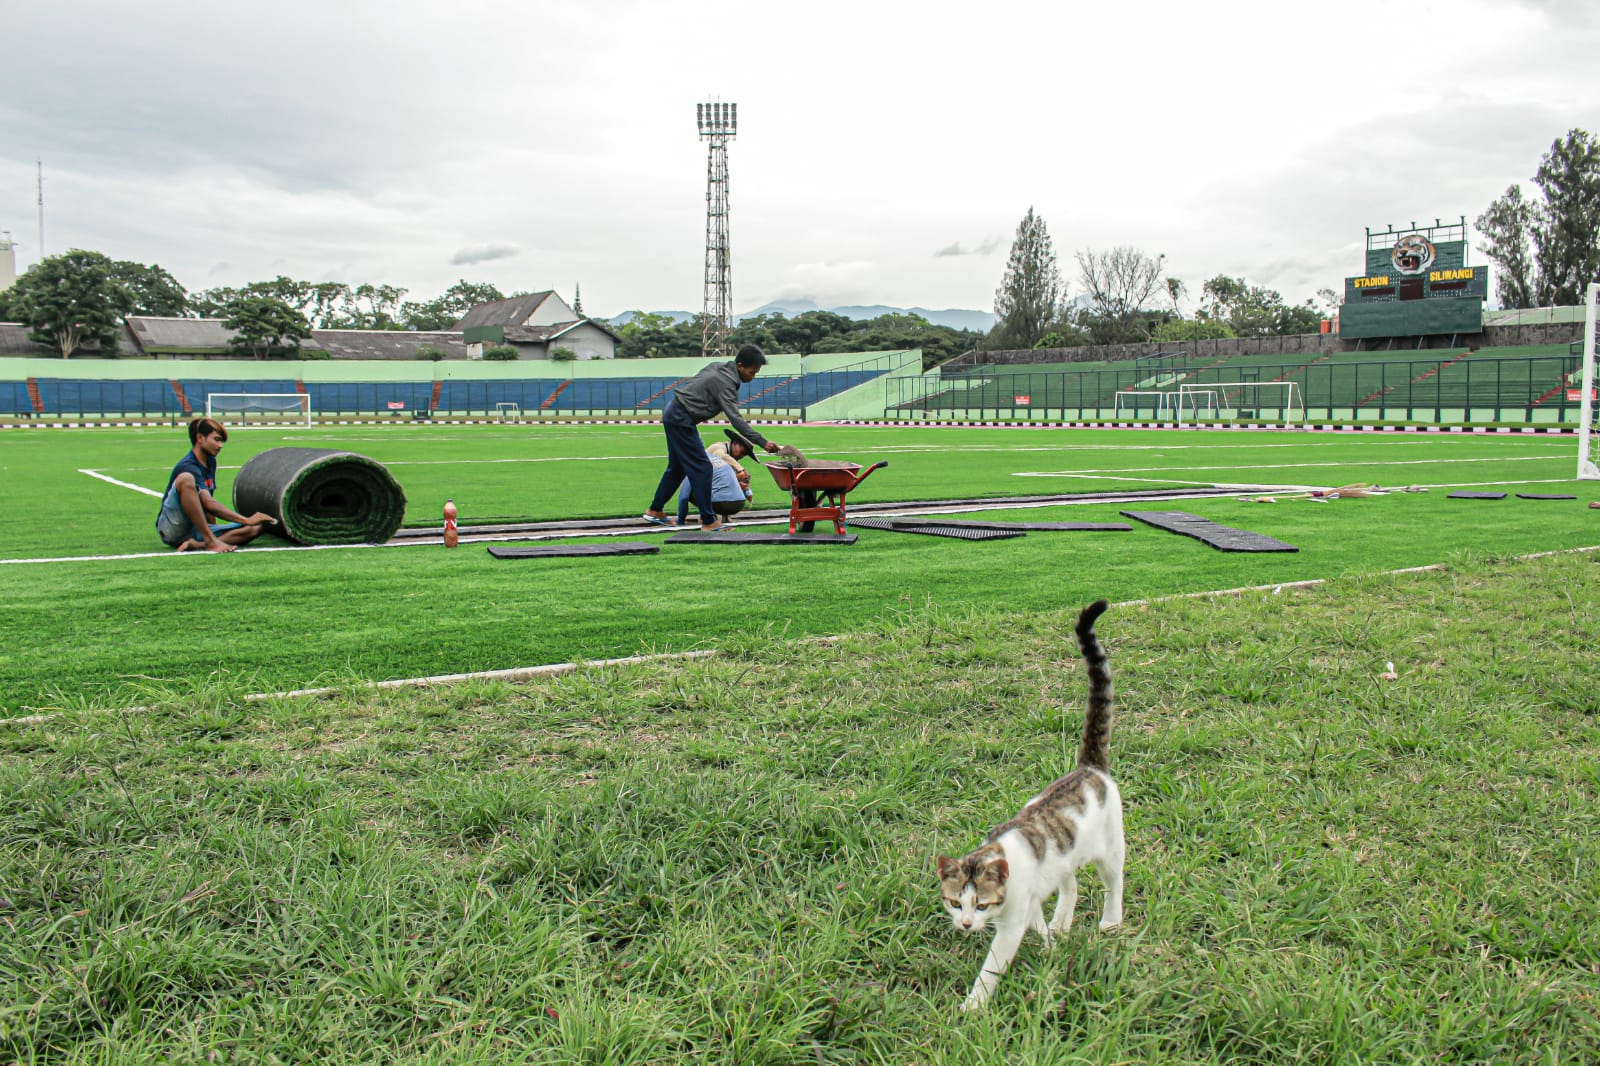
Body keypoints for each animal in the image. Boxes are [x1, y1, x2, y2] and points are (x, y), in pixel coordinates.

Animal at [934, 598, 1126, 1005]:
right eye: (955, 902)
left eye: (981, 904)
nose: (966, 924)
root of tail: (1089, 767)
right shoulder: (1033, 895)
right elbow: (1038, 920)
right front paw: (1049, 940)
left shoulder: (1011, 922)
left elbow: (993, 966)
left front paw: (972, 1007)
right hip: (1066, 856)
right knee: (1072, 886)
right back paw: (1061, 923)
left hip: (1111, 846)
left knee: (1113, 882)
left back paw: (1110, 923)